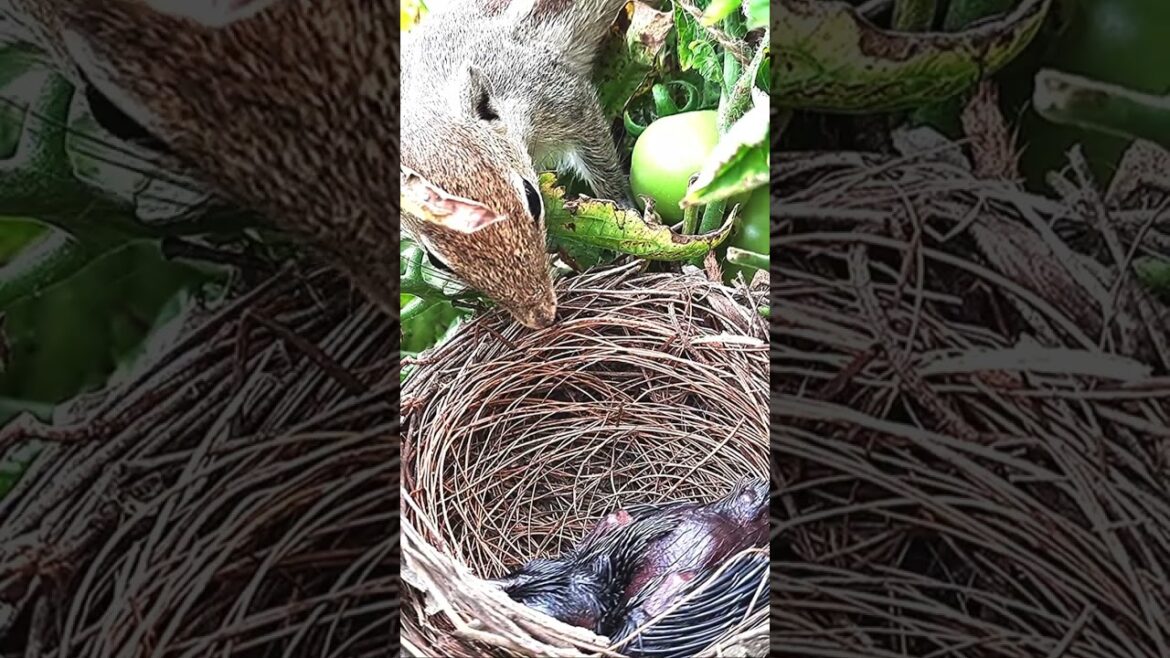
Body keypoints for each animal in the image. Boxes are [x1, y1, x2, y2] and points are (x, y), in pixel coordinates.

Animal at [402, 0, 634, 328]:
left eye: (533, 199)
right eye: (436, 261)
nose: (542, 317)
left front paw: (627, 211)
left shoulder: (562, 98)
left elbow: (601, 160)